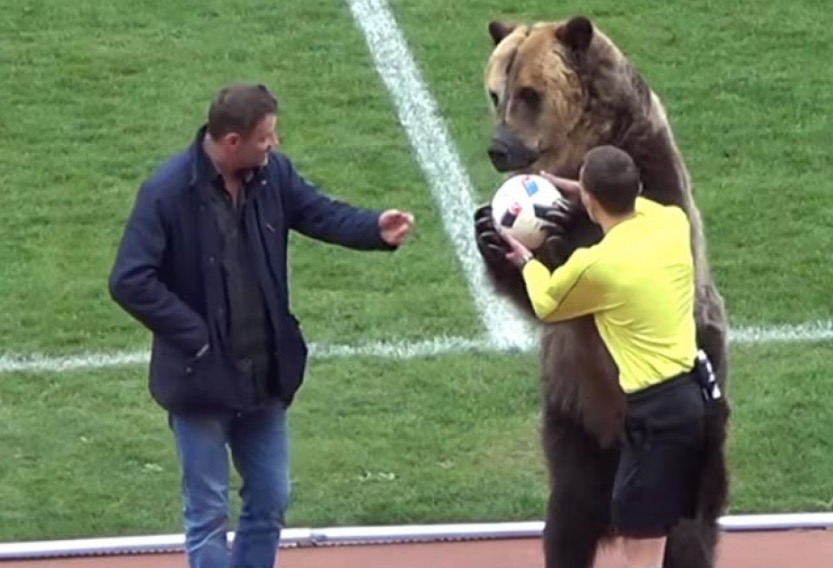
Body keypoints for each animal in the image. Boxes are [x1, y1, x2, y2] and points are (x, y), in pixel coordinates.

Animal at [473, 16, 731, 568]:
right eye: (496, 92)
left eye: (530, 94)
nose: (499, 148)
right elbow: (548, 304)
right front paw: (490, 236)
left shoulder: (654, 174)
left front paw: (569, 223)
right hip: (573, 417)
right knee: (567, 519)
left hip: (697, 431)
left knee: (687, 528)